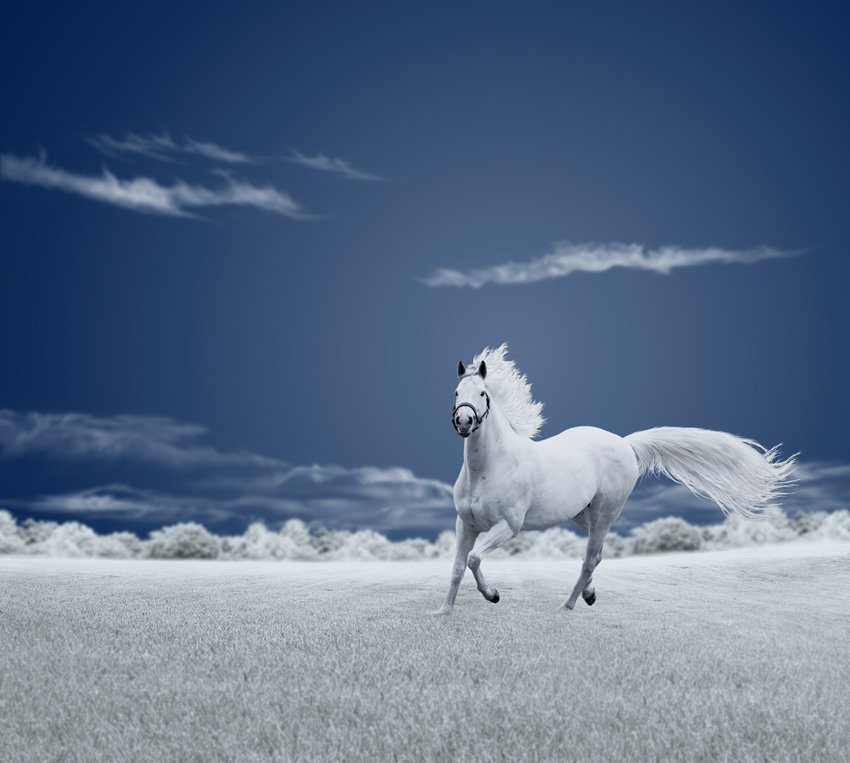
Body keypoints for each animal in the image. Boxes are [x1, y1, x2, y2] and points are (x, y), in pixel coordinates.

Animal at [438, 344, 796, 616]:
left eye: (483, 393)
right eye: (455, 392)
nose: (464, 421)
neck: (488, 468)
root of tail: (626, 443)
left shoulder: (508, 526)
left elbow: (473, 558)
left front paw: (493, 595)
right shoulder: (465, 525)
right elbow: (457, 566)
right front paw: (444, 611)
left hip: (604, 512)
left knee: (590, 557)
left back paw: (568, 605)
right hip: (584, 514)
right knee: (596, 555)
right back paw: (588, 594)